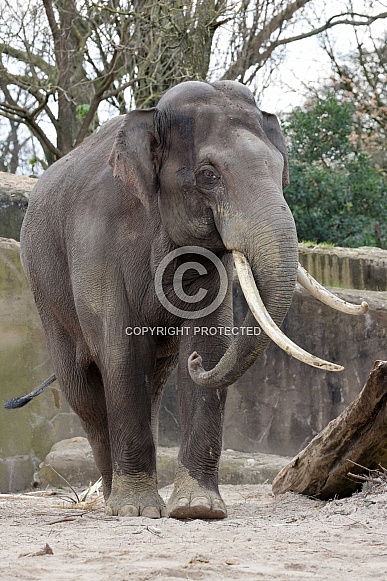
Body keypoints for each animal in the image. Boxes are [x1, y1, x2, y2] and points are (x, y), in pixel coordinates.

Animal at [17, 79, 366, 520]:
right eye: (208, 175)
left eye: (279, 170)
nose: (196, 364)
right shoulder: (95, 240)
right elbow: (122, 350)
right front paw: (136, 511)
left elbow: (210, 339)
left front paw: (198, 509)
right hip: (44, 290)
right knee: (83, 389)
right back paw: (113, 501)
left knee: (153, 379)